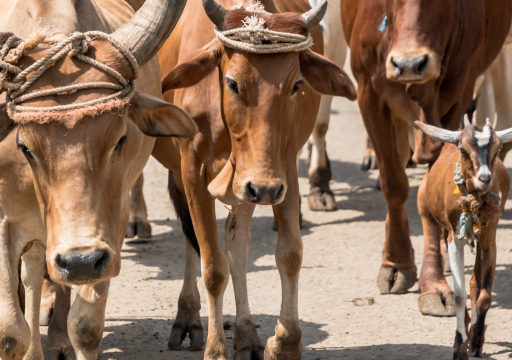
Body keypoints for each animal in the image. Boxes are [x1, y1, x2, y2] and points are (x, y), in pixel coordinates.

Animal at [0, 0, 193, 360]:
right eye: (24, 146)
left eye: (120, 138)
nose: (81, 261)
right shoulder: (5, 223)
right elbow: (11, 333)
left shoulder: (111, 226)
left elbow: (86, 327)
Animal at [152, 0, 356, 358]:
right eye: (233, 83)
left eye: (296, 85)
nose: (262, 187)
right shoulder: (192, 172)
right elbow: (212, 266)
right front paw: (216, 348)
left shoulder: (282, 171)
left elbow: (289, 253)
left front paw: (285, 341)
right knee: (192, 240)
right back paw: (188, 318)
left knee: (237, 244)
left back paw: (246, 334)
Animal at [340, 0, 512, 316]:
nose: (409, 64)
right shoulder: (369, 94)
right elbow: (394, 185)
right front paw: (396, 262)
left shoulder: (459, 94)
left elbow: (431, 191)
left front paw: (433, 284)